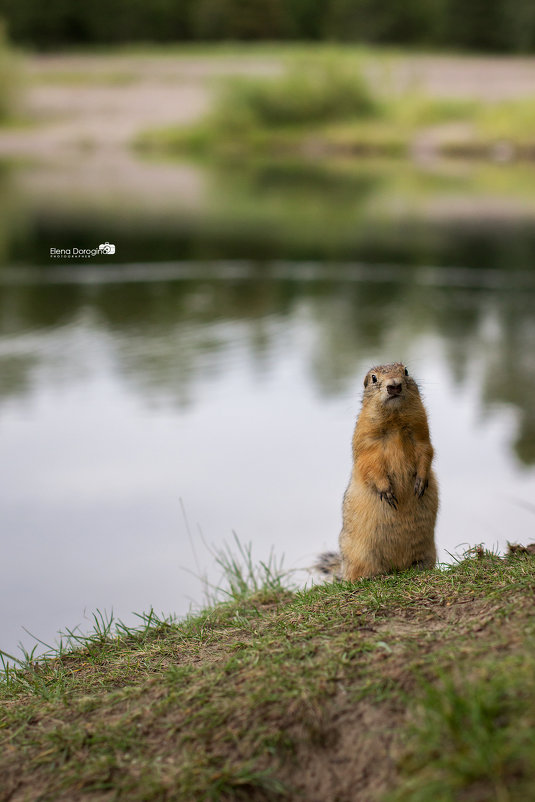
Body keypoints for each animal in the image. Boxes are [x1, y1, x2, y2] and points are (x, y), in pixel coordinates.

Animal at [318, 364, 440, 580]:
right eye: (373, 378)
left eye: (406, 371)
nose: (394, 385)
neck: (395, 423)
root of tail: (398, 569)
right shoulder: (366, 440)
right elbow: (370, 464)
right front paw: (387, 492)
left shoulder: (421, 432)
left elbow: (426, 451)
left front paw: (420, 482)